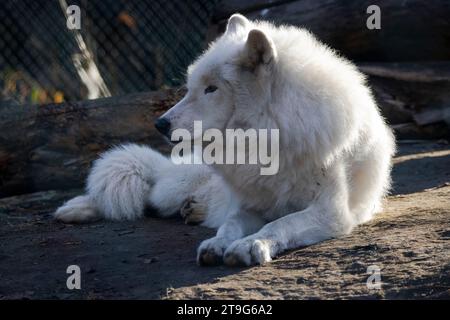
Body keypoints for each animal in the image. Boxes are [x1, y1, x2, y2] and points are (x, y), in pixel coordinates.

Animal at [55, 13, 394, 266]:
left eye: (211, 89)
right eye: (192, 87)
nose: (160, 124)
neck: (268, 138)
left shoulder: (330, 212)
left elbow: (280, 223)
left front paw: (250, 245)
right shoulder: (250, 206)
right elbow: (230, 224)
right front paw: (217, 243)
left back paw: (193, 212)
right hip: (171, 188)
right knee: (140, 191)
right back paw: (73, 210)